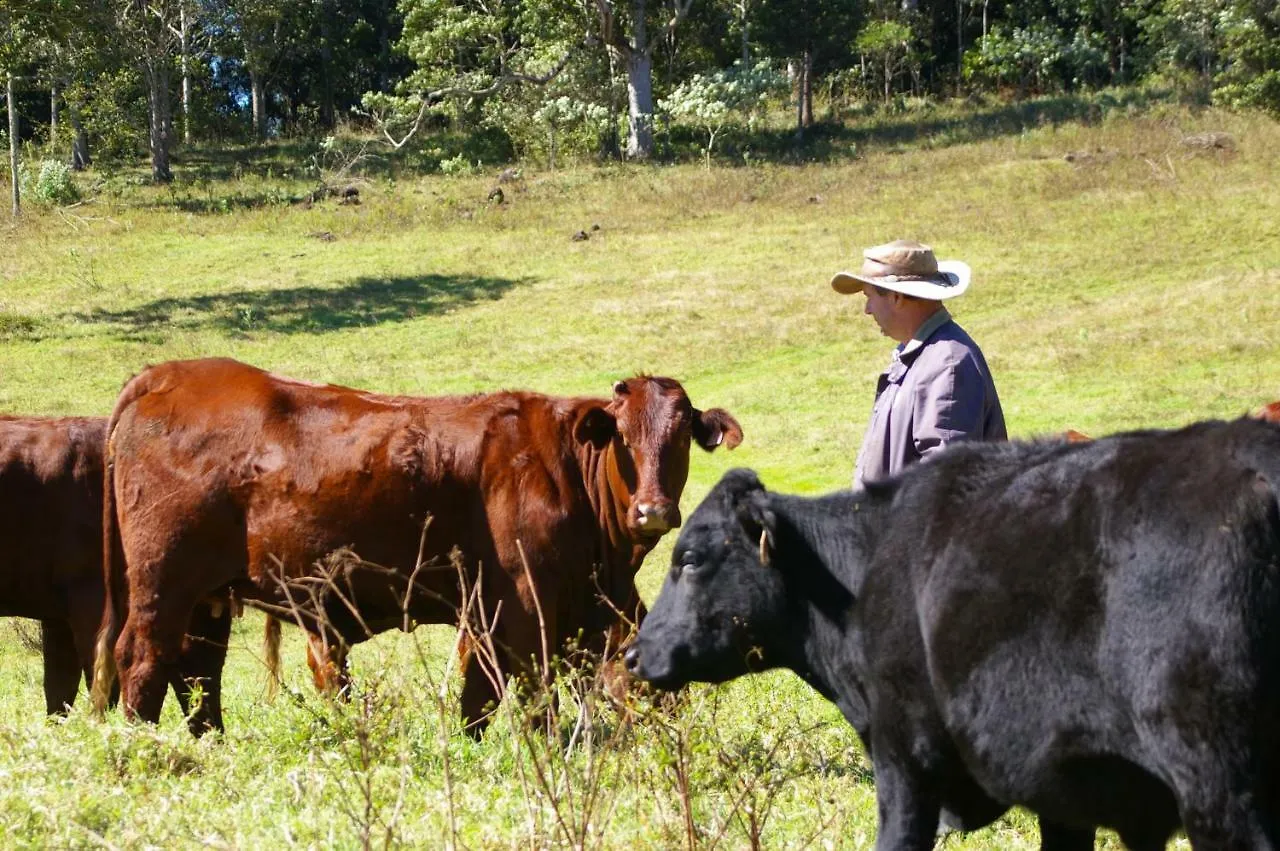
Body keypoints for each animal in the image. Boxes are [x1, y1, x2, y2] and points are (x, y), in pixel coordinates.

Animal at [92, 355, 742, 731]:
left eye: (681, 435)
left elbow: (477, 701)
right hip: (162, 583)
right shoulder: (526, 610)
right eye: (623, 437)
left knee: (198, 672)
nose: (653, 510)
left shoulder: (493, 614)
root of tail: (168, 374)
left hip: (209, 598)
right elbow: (535, 703)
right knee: (143, 659)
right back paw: (140, 744)